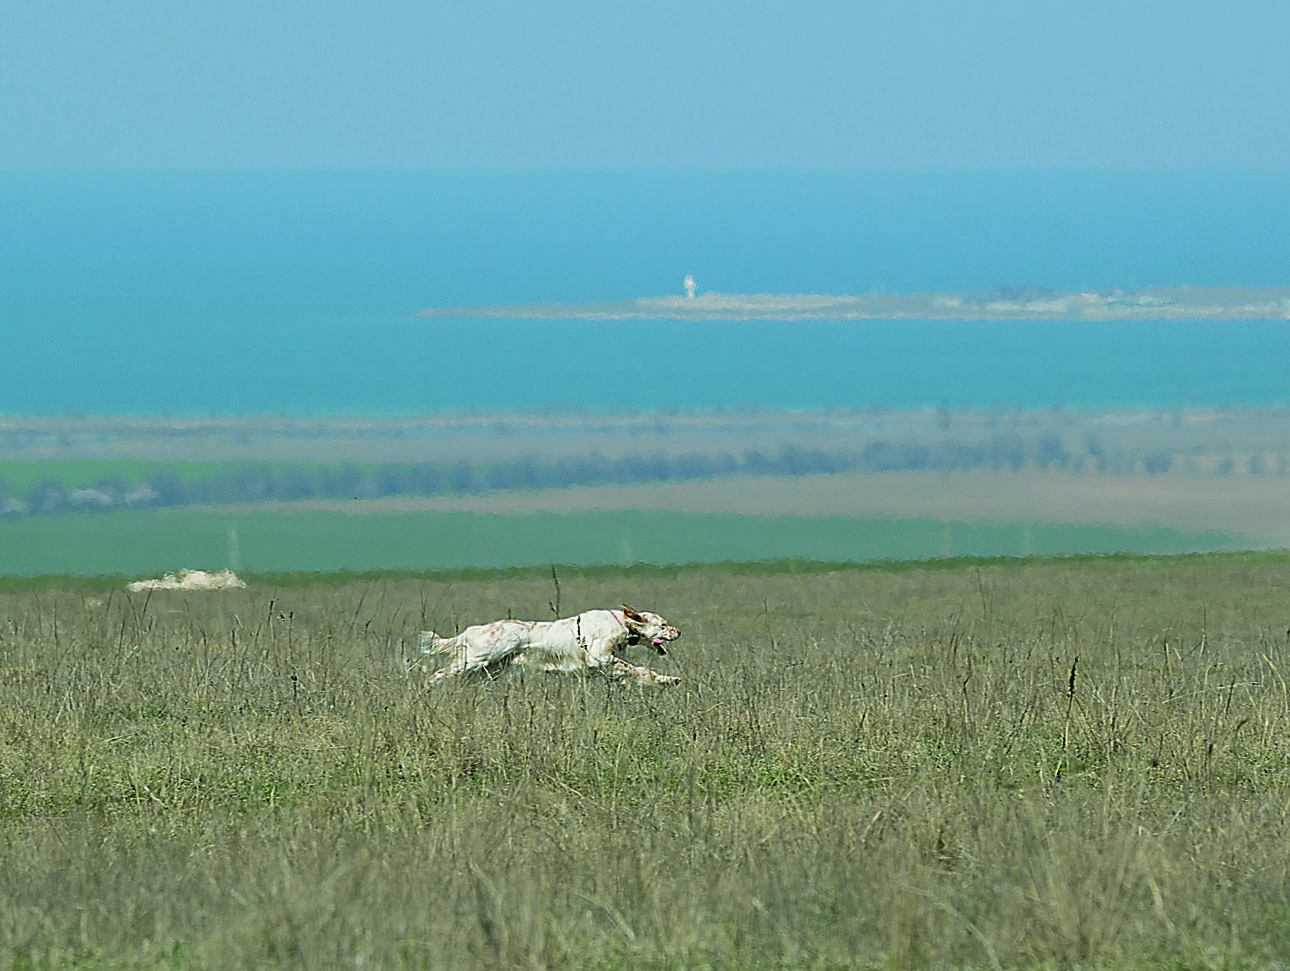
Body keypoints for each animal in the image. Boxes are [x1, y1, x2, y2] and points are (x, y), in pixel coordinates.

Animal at [420, 603, 686, 686]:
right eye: (663, 625)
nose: (679, 631)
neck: (622, 624)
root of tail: (471, 630)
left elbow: (638, 672)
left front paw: (669, 680)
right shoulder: (600, 657)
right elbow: (637, 669)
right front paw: (668, 679)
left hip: (488, 669)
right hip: (474, 661)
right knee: (439, 673)